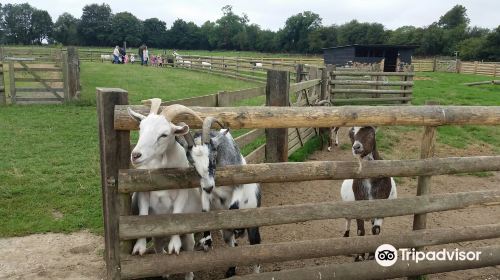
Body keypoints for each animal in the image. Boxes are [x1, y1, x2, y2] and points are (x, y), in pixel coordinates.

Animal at [128, 100, 204, 280]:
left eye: (164, 135)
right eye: (140, 128)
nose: (136, 155)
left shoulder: (183, 189)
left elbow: (177, 212)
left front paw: (174, 246)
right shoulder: (143, 190)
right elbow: (142, 215)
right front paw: (139, 247)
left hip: (189, 232)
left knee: (190, 248)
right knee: (158, 247)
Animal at [183, 116, 262, 278]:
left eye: (213, 156)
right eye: (192, 163)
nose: (209, 187)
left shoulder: (238, 183)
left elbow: (233, 205)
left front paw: (238, 230)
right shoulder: (204, 190)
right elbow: (205, 211)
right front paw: (206, 241)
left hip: (253, 222)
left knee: (255, 247)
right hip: (225, 232)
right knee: (231, 246)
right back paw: (230, 270)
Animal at [340, 126, 398, 262]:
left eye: (371, 133)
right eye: (351, 134)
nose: (356, 147)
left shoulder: (380, 208)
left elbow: (375, 231)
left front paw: (371, 256)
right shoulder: (359, 206)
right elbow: (360, 232)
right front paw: (360, 257)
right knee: (348, 220)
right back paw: (346, 238)